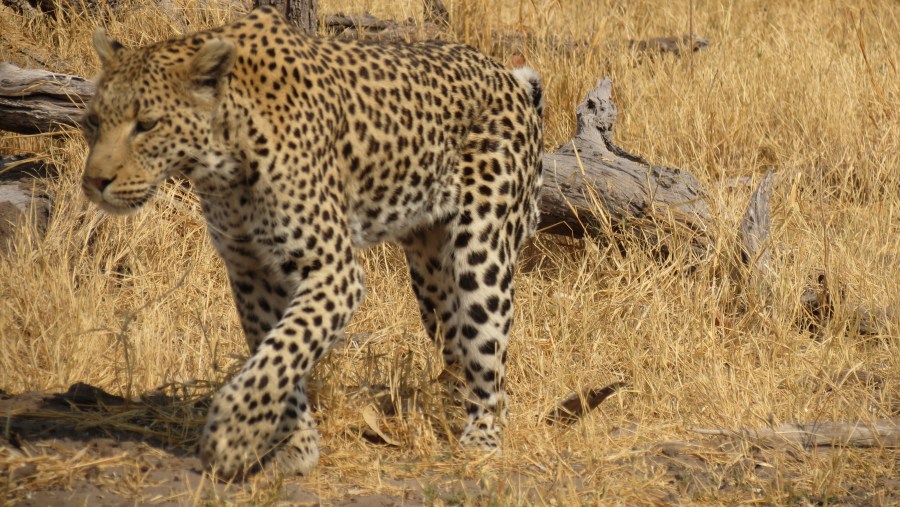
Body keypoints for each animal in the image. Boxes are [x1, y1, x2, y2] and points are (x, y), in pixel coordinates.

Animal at [84, 5, 544, 478]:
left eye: (146, 125)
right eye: (92, 122)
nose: (94, 182)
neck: (223, 162)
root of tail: (510, 76)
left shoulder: (332, 271)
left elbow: (282, 352)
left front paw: (230, 435)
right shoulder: (250, 269)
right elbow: (277, 354)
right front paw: (295, 444)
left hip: (481, 254)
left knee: (489, 356)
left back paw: (481, 439)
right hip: (431, 273)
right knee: (455, 342)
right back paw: (449, 406)